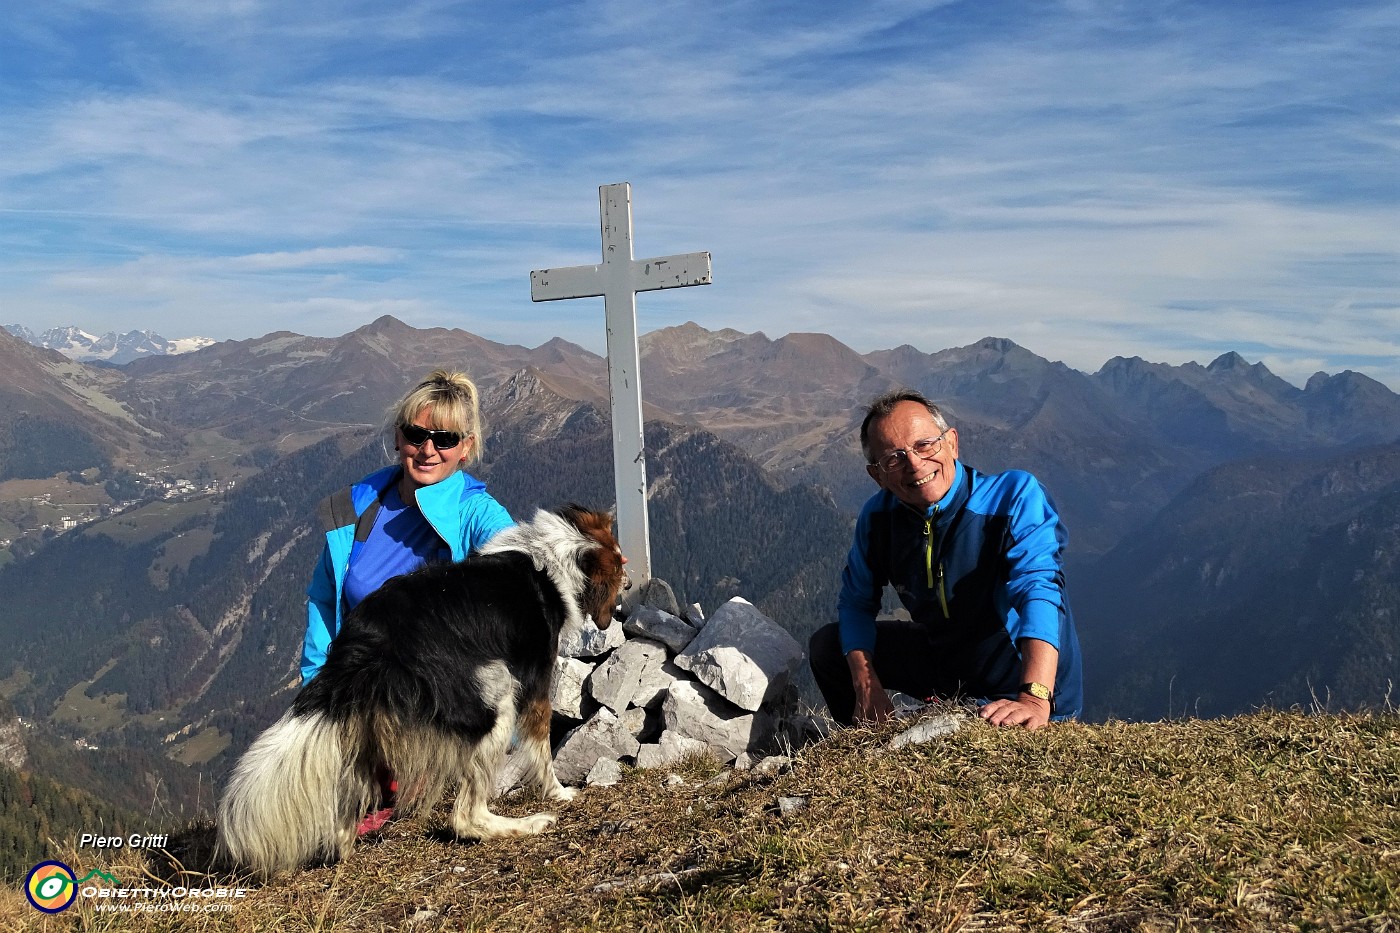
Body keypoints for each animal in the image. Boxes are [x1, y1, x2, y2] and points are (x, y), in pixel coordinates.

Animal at [215, 501, 627, 874]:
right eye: (620, 569)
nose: (631, 582)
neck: (557, 551)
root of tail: (367, 643)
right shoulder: (536, 684)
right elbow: (542, 749)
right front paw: (559, 793)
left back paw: (344, 841)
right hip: (493, 693)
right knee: (465, 816)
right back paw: (525, 825)